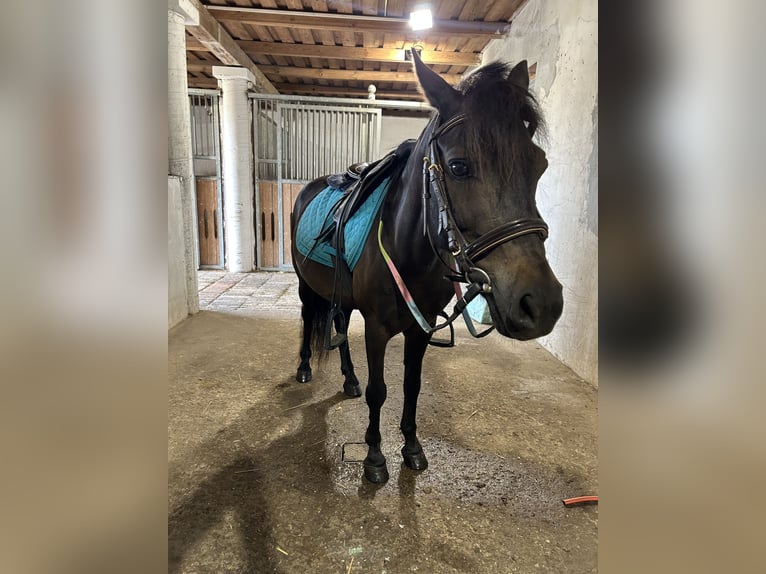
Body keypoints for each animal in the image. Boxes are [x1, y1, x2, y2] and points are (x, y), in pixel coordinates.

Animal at [290, 50, 563, 484]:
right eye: (458, 166)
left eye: (539, 165)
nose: (541, 304)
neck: (407, 252)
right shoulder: (377, 328)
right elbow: (379, 391)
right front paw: (374, 457)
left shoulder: (422, 326)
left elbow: (412, 386)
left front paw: (412, 448)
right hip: (305, 286)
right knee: (307, 321)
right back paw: (303, 368)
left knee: (338, 326)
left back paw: (348, 379)